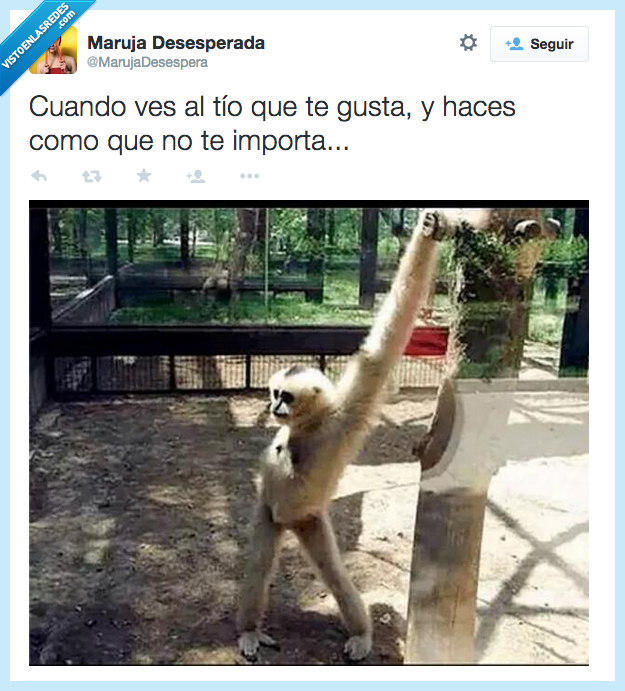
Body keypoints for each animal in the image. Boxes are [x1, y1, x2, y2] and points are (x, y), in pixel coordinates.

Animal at [236, 210, 453, 662]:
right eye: (273, 394)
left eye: (285, 396)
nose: (274, 408)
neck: (311, 426)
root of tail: (290, 519)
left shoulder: (349, 413)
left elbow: (380, 351)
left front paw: (428, 229)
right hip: (271, 511)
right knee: (260, 566)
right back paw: (249, 631)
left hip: (309, 517)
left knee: (335, 576)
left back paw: (362, 635)